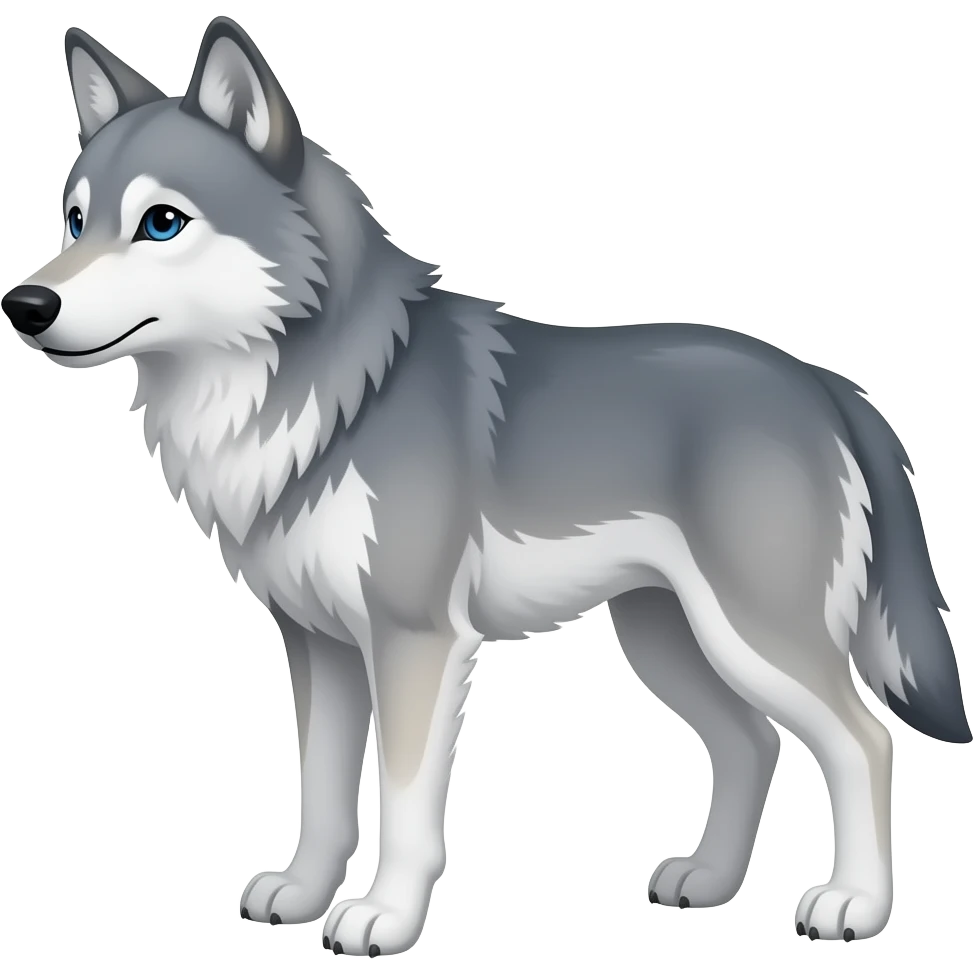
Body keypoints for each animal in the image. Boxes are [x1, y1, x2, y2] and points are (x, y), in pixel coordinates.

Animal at [3, 16, 968, 956]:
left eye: (161, 222)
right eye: (75, 220)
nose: (25, 306)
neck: (333, 395)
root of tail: (825, 384)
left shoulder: (415, 641)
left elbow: (403, 806)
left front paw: (383, 919)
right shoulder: (319, 647)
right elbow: (320, 793)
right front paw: (305, 897)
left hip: (753, 637)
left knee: (864, 744)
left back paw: (853, 906)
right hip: (668, 639)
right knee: (752, 743)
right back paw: (707, 882)